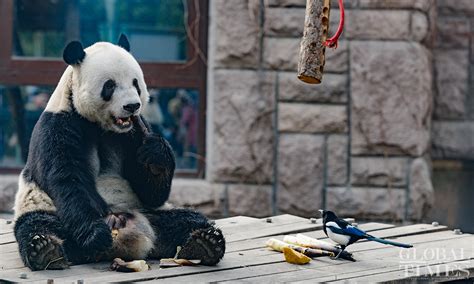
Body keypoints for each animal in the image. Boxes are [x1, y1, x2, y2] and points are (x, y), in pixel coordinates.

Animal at [12, 34, 225, 270]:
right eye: (110, 85)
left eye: (135, 83)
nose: (132, 106)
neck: (103, 126)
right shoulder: (58, 126)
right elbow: (67, 179)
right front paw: (95, 233)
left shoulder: (134, 133)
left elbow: (150, 191)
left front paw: (156, 157)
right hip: (43, 206)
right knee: (38, 224)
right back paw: (46, 249)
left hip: (152, 213)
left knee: (187, 219)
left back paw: (205, 243)